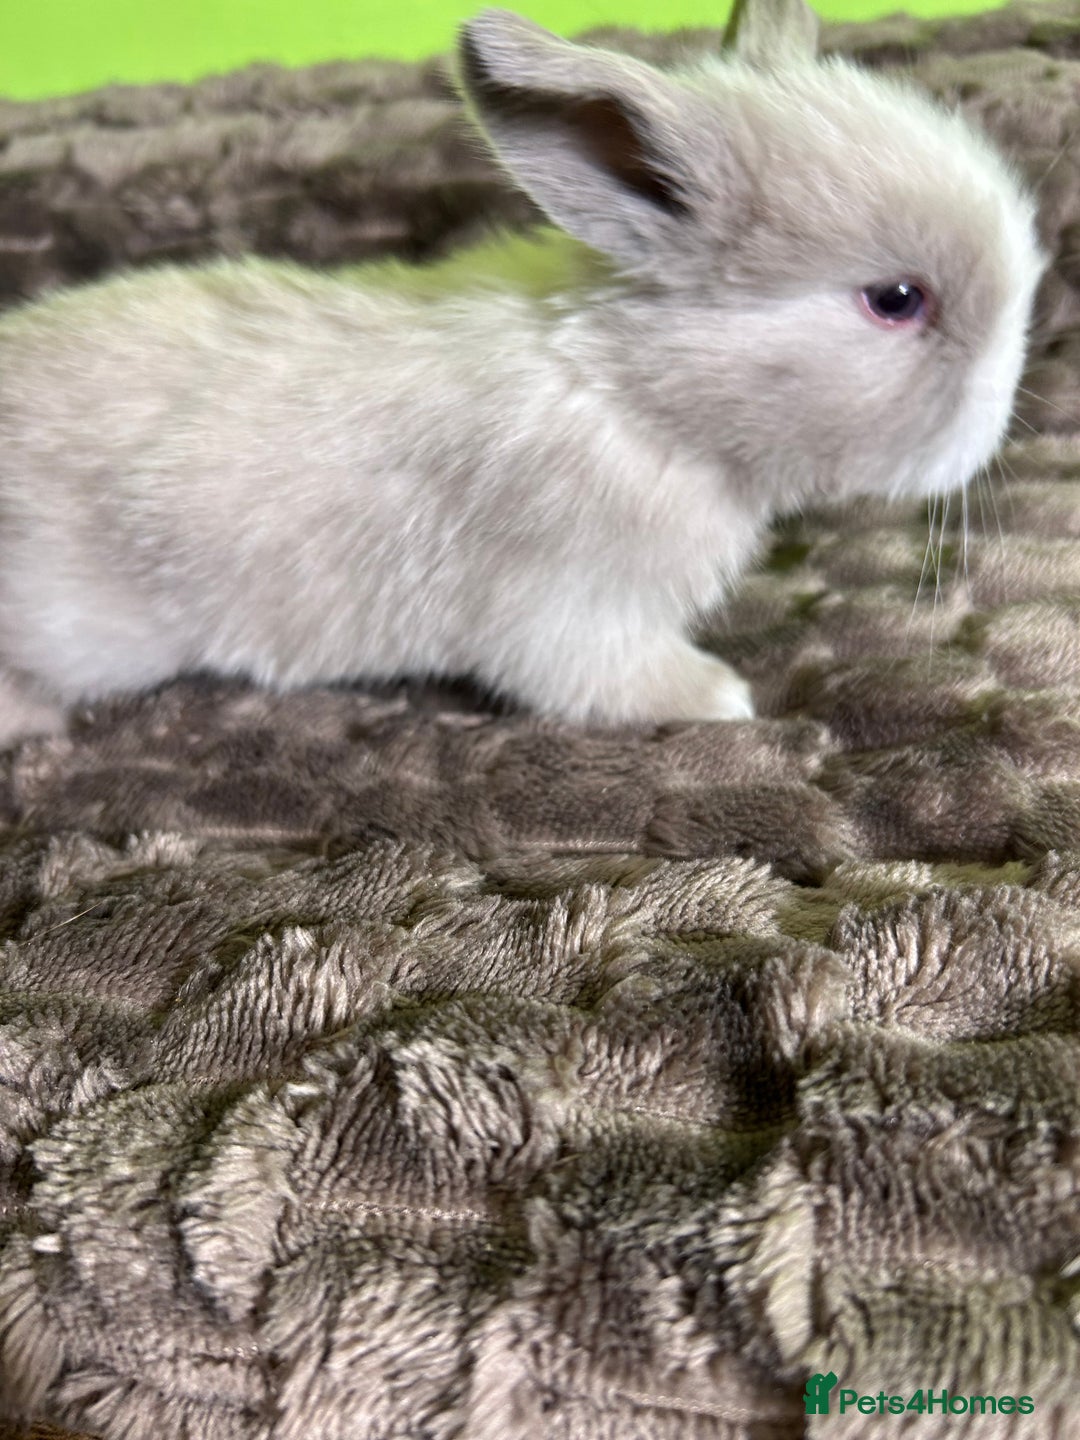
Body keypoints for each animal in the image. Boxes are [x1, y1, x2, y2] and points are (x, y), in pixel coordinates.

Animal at [0, 0, 1046, 744]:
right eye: (897, 299)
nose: (996, 424)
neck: (633, 392)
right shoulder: (571, 607)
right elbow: (601, 678)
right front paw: (719, 697)